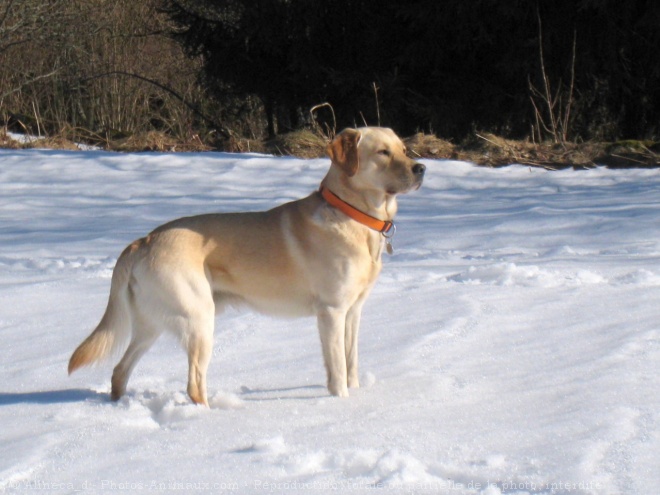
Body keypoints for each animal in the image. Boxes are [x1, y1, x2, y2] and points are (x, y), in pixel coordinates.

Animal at [68, 128, 428, 406]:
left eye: (403, 148)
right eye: (383, 152)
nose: (421, 168)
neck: (354, 215)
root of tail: (142, 240)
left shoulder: (353, 311)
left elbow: (351, 363)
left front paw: (355, 394)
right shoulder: (332, 311)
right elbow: (338, 369)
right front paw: (341, 402)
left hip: (152, 324)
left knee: (120, 370)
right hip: (200, 320)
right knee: (193, 384)